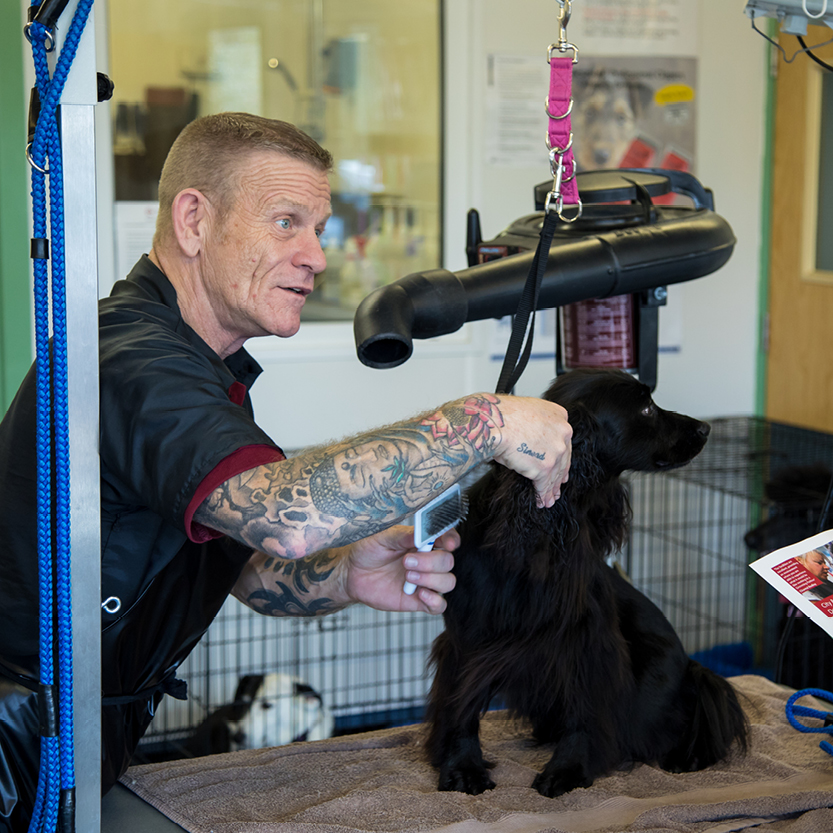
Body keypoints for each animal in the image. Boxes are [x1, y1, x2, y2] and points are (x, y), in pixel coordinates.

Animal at [422, 368, 748, 792]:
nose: (706, 428)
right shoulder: (468, 632)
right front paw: (462, 766)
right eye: (646, 408)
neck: (538, 531)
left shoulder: (584, 636)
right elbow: (461, 703)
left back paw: (683, 756)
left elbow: (585, 707)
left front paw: (568, 769)